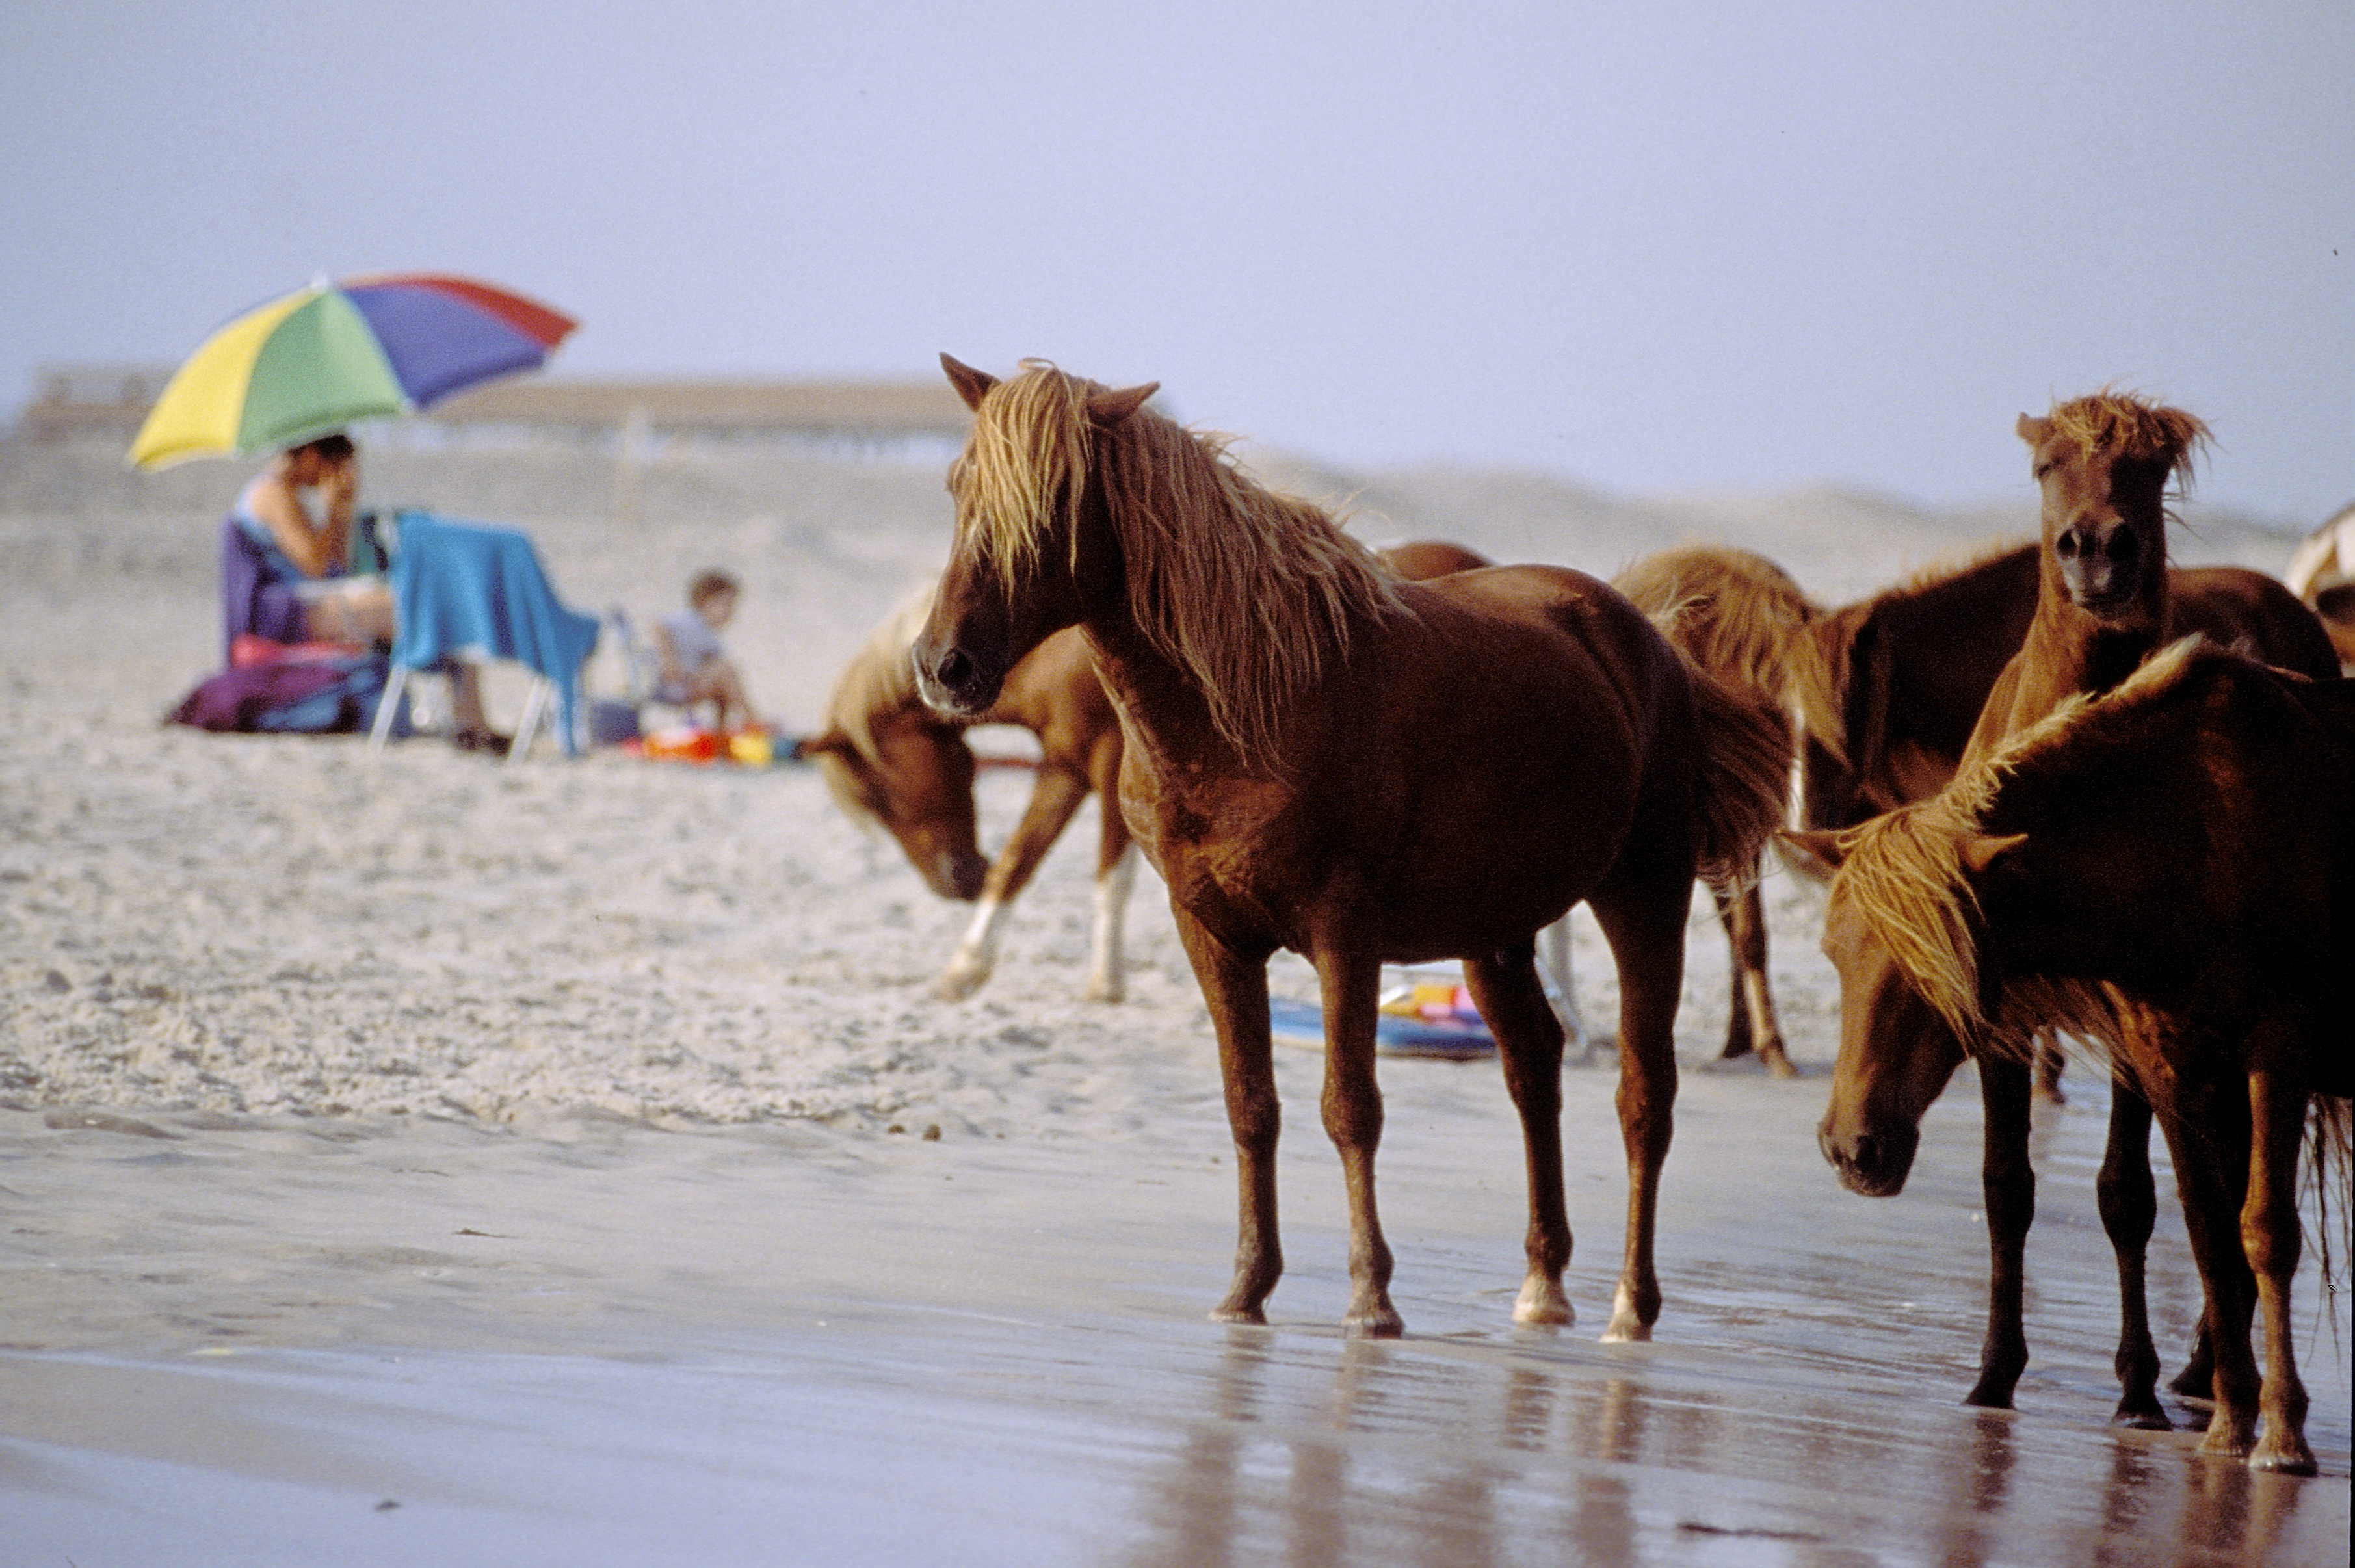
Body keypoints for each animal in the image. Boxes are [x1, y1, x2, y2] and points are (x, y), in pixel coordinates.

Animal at [809, 543, 1502, 1003]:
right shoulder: (1064, 768)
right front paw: (964, 971)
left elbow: (1108, 877)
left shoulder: (1112, 765)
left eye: (880, 793)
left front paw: (1104, 982)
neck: (1050, 648)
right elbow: (1019, 862)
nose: (953, 883)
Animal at [914, 357, 1787, 1339]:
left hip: (1643, 897)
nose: (944, 668)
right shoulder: (1211, 935)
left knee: (1644, 1097)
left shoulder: (1344, 937)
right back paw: (1542, 1283)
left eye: (1054, 504)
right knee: (1534, 1067)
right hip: (1493, 932)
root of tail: (1642, 635)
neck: (1246, 709)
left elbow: (1349, 1108)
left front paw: (1371, 1299)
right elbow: (1250, 1106)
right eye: (957, 488)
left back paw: (1630, 1307)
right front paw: (1247, 1288)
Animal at [1804, 639, 2355, 1474]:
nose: (1851, 1147)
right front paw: (2232, 1419)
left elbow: (2265, 1231)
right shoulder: (2171, 1066)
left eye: (1936, 964)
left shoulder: (2277, 1049)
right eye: (1835, 954)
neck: (2193, 832)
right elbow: (2208, 1233)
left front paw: (2282, 1432)